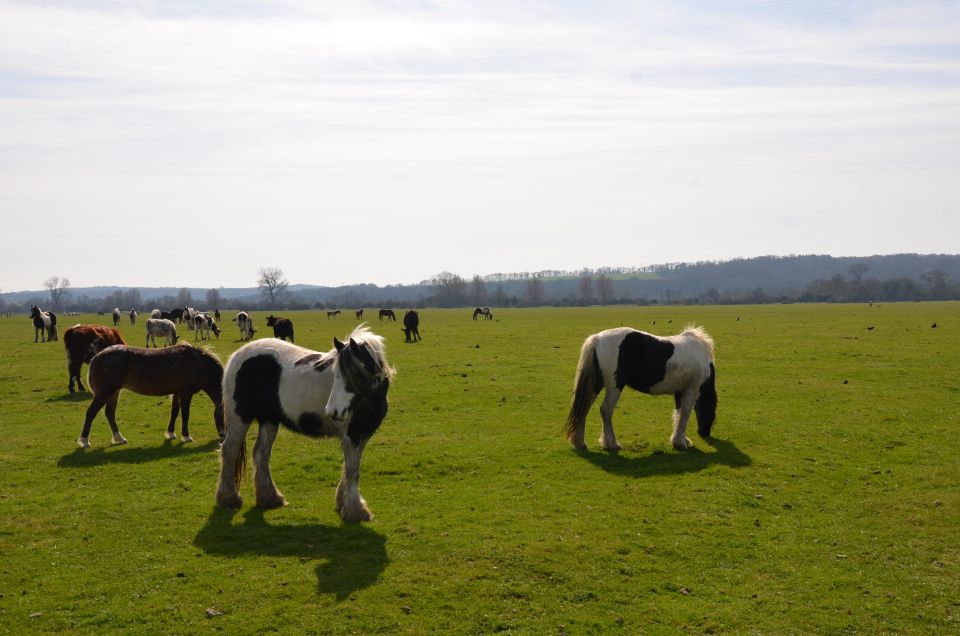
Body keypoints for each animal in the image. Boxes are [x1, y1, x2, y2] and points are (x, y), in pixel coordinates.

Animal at [76, 342, 225, 448]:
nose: (223, 435)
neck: (197, 363)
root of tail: (97, 357)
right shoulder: (185, 393)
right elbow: (185, 415)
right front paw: (186, 436)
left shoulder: (177, 392)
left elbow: (174, 412)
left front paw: (170, 433)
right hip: (104, 394)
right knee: (91, 413)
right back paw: (84, 441)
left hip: (114, 393)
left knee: (109, 413)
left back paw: (119, 438)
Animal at [218, 322, 394, 520]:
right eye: (336, 375)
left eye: (355, 376)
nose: (332, 411)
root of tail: (238, 354)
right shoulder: (352, 435)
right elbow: (352, 470)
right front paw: (356, 510)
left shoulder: (362, 435)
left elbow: (350, 467)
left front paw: (343, 502)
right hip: (240, 417)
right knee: (230, 450)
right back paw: (229, 498)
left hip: (269, 420)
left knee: (261, 454)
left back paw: (270, 498)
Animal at [568, 328, 716, 452]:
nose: (704, 433)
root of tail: (598, 338)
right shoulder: (691, 391)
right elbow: (685, 414)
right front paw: (680, 443)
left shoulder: (680, 392)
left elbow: (678, 414)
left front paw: (681, 440)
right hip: (614, 387)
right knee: (605, 411)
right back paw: (612, 444)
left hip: (595, 385)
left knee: (584, 409)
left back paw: (580, 442)